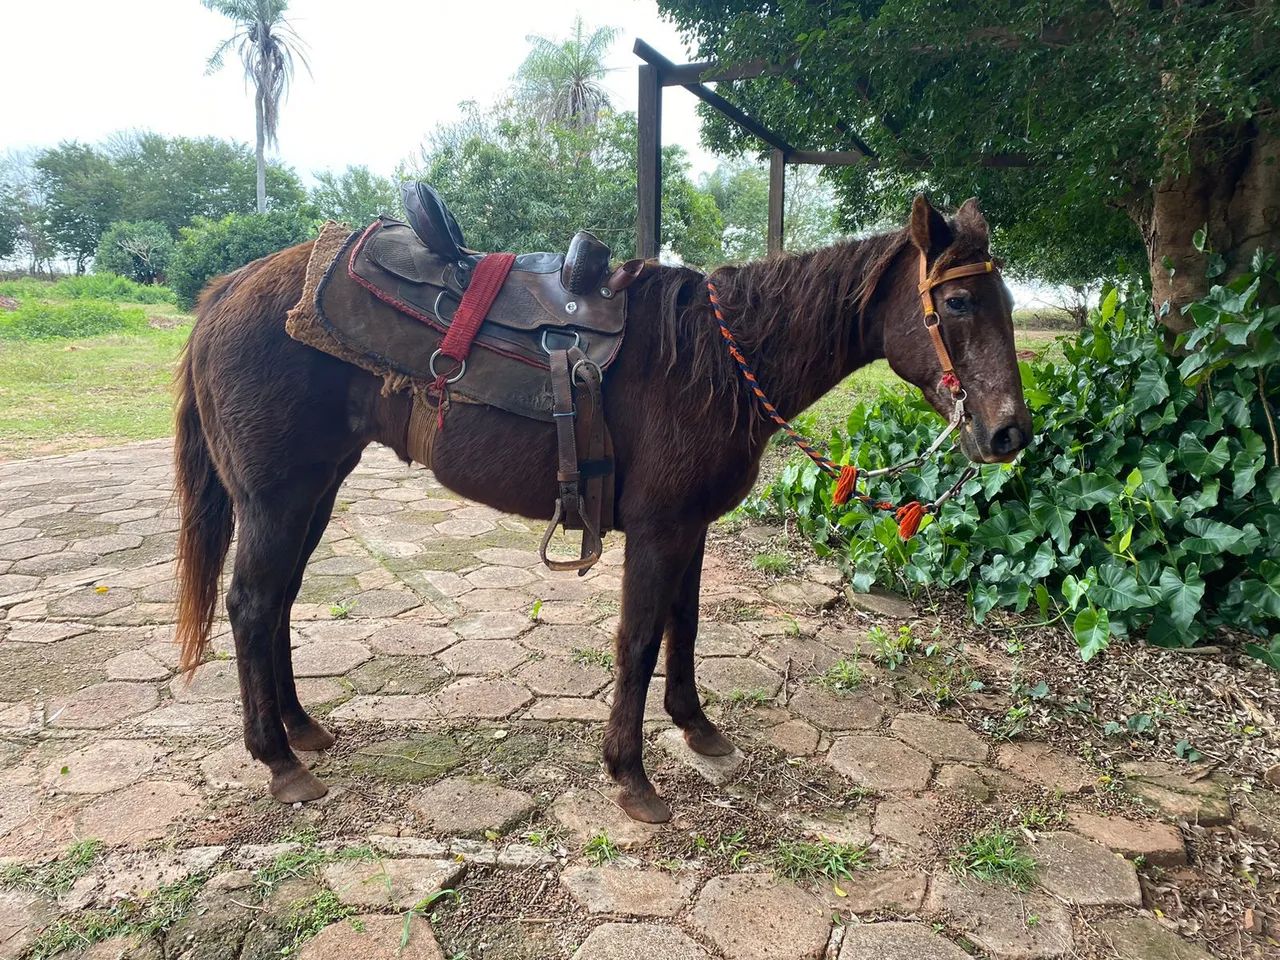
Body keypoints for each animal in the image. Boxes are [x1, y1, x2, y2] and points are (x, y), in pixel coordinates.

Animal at [173, 194, 1031, 823]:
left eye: (1007, 302)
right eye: (958, 300)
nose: (1009, 431)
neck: (715, 364)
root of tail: (226, 291)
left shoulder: (690, 528)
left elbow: (684, 629)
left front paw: (698, 729)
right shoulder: (656, 531)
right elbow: (639, 641)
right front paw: (631, 776)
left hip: (313, 490)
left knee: (278, 602)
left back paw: (302, 730)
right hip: (278, 497)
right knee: (251, 603)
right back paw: (278, 760)